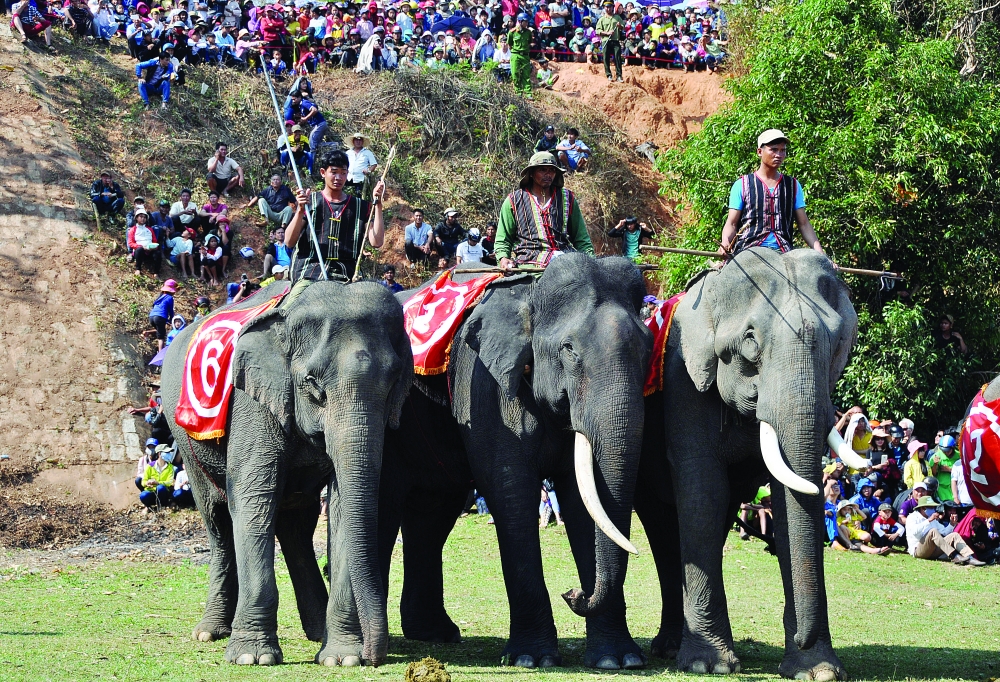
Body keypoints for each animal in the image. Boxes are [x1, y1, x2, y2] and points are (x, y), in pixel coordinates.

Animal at [160, 280, 412, 667]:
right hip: (187, 444)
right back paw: (210, 632)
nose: (374, 656)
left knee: (296, 525)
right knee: (218, 520)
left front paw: (342, 658)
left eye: (393, 384)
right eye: (313, 385)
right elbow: (253, 497)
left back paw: (317, 631)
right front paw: (252, 657)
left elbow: (341, 507)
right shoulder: (251, 401)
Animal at [365, 254, 654, 671]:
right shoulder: (485, 382)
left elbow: (583, 499)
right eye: (569, 348)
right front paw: (532, 659)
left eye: (648, 351)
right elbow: (509, 489)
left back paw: (436, 633)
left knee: (433, 513)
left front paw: (618, 660)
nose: (573, 593)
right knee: (386, 506)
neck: (531, 291)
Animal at [633, 248, 859, 680]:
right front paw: (709, 666)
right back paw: (673, 651)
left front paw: (817, 671)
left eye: (839, 344)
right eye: (750, 344)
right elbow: (704, 494)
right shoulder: (684, 380)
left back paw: (670, 648)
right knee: (662, 525)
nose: (802, 637)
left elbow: (788, 505)